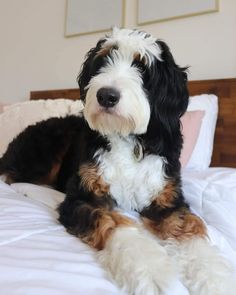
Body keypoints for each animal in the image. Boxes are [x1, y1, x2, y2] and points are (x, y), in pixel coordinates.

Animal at [0, 27, 235, 294]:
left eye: (142, 67)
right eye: (104, 61)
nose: (106, 95)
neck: (127, 138)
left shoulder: (169, 199)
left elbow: (190, 230)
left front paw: (215, 278)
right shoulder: (83, 197)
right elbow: (114, 222)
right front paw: (150, 270)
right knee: (13, 178)